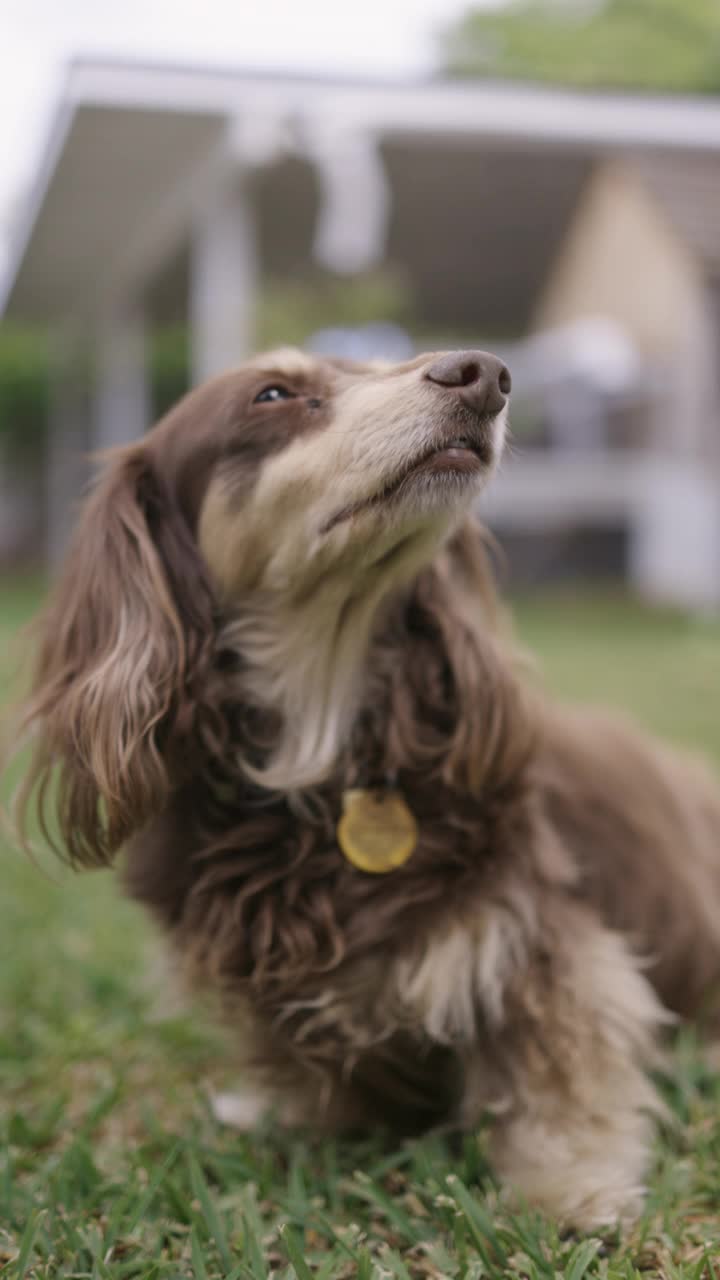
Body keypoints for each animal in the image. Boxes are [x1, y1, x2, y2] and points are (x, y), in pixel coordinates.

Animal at [14, 345, 717, 1223]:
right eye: (272, 393)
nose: (485, 373)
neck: (322, 747)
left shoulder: (535, 935)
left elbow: (557, 1060)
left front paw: (574, 1187)